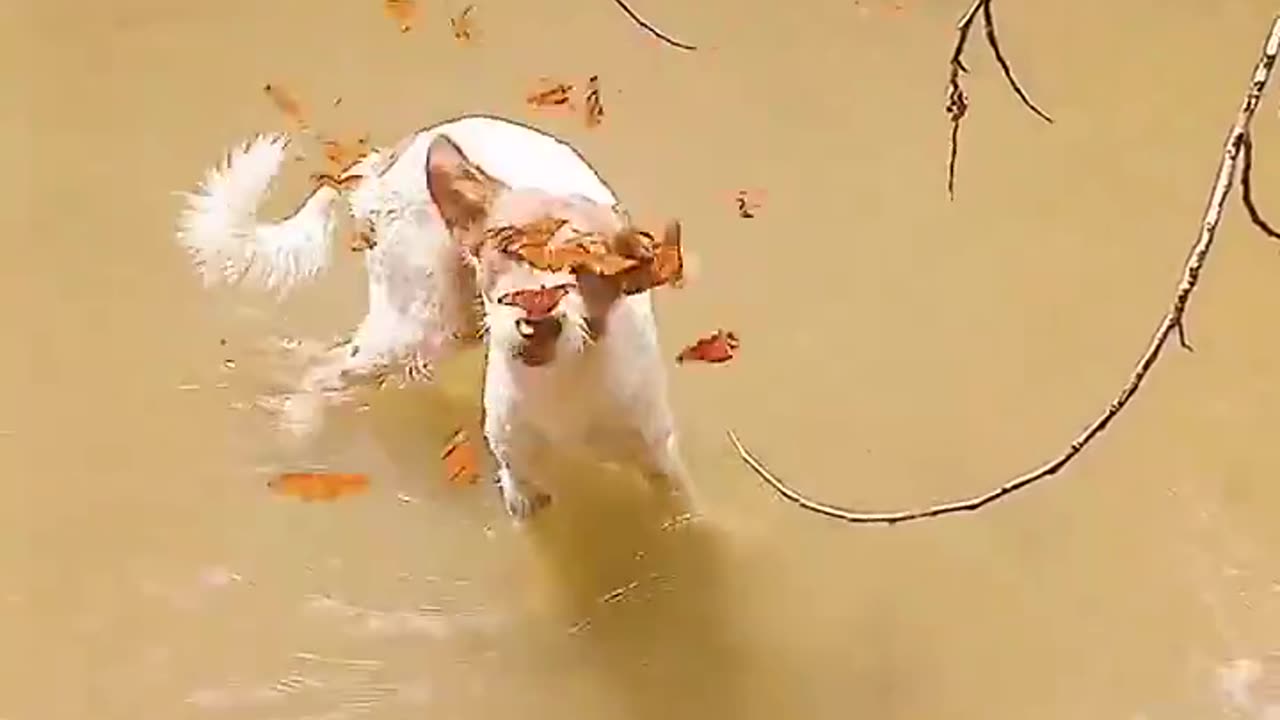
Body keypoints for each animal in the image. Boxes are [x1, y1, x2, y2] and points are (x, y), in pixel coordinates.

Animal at [176, 113, 696, 515]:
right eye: (505, 245)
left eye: (591, 264)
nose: (536, 319)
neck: (564, 383)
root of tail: (385, 159)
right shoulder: (521, 485)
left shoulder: (661, 461)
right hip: (422, 326)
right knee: (324, 369)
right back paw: (298, 429)